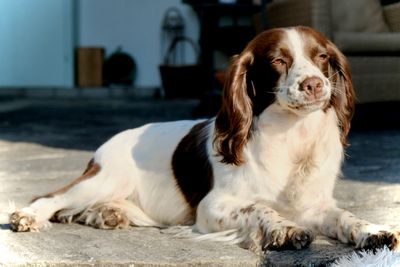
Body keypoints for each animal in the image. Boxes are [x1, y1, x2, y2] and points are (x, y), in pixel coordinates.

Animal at [9, 25, 400, 253]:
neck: (291, 137)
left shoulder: (314, 205)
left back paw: (105, 215)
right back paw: (26, 216)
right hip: (103, 178)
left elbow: (346, 217)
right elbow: (260, 208)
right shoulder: (212, 207)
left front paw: (374, 231)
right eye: (278, 61)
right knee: (50, 198)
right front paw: (285, 229)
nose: (316, 84)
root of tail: (105, 146)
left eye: (322, 57)